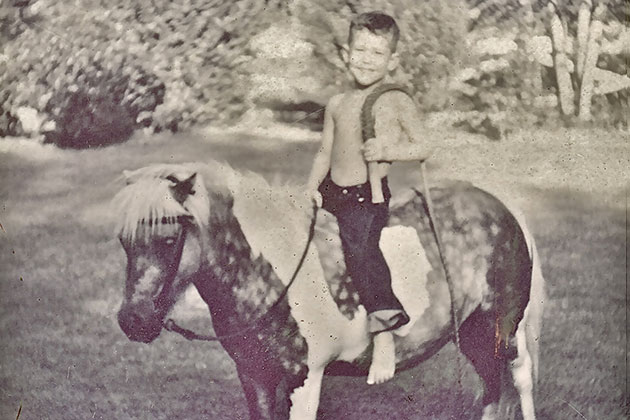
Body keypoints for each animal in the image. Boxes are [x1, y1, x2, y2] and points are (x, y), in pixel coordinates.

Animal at [115, 162, 548, 420]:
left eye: (170, 239)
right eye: (123, 240)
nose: (132, 321)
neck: (272, 268)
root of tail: (501, 207)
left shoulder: (306, 378)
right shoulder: (253, 375)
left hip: (504, 330)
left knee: (519, 380)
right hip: (471, 333)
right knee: (491, 386)